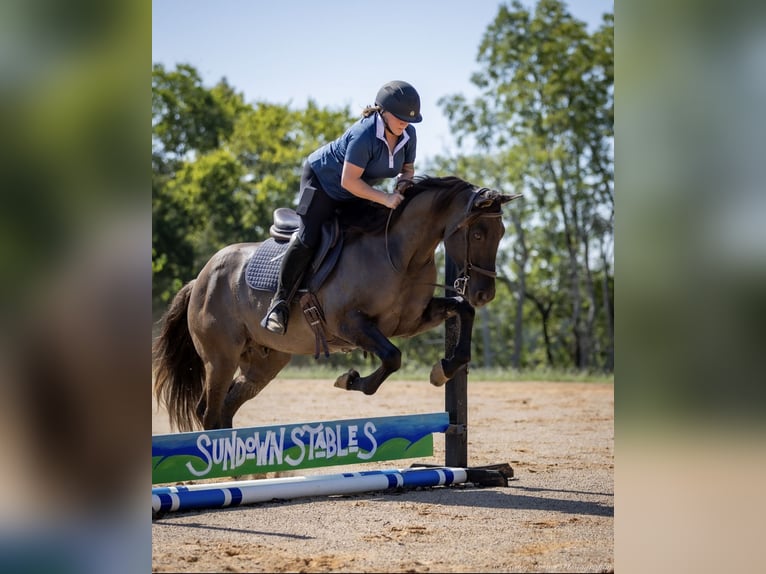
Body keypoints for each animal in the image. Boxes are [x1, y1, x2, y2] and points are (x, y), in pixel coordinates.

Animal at [153, 176, 520, 431]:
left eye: (502, 233)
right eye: (477, 234)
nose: (485, 294)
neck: (401, 255)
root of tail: (199, 280)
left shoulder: (410, 320)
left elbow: (462, 310)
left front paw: (444, 369)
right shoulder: (349, 323)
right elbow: (393, 357)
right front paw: (351, 380)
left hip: (262, 363)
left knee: (226, 409)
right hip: (220, 359)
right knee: (209, 411)